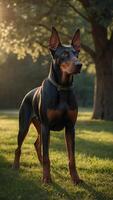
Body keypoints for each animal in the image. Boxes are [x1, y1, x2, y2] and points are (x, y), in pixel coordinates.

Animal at [13, 26, 82, 184]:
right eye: (64, 54)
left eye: (77, 54)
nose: (79, 65)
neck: (62, 88)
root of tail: (28, 94)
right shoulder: (46, 126)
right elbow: (47, 156)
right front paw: (46, 177)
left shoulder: (70, 127)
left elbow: (72, 158)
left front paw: (75, 178)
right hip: (25, 125)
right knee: (19, 147)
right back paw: (16, 166)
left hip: (39, 126)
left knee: (37, 143)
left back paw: (39, 162)